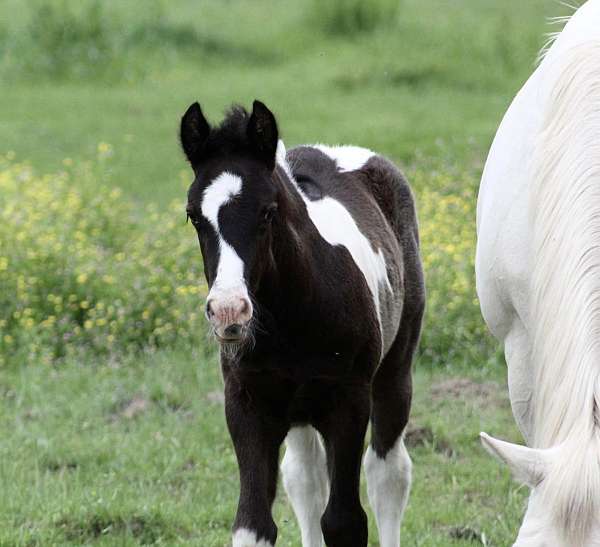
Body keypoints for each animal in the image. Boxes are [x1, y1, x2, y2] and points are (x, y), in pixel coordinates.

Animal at [180, 99, 424, 547]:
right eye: (193, 216)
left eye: (268, 211)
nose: (229, 311)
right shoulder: (246, 405)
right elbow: (253, 523)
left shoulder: (348, 403)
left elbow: (344, 522)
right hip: (297, 409)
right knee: (305, 480)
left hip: (394, 370)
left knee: (388, 472)